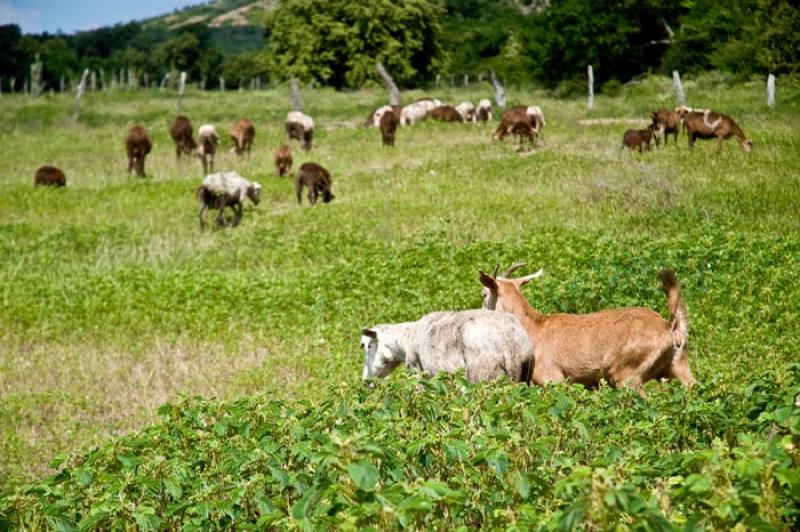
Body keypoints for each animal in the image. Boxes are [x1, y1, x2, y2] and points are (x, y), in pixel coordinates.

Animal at [360, 310, 536, 384]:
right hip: (525, 374)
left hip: (482, 376)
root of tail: (511, 344)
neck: (405, 340)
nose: (365, 380)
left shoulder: (418, 371)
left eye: (367, 345)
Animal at [478, 264, 696, 394]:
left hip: (628, 375)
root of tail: (669, 326)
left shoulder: (552, 378)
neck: (533, 328)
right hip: (678, 366)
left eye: (483, 294)